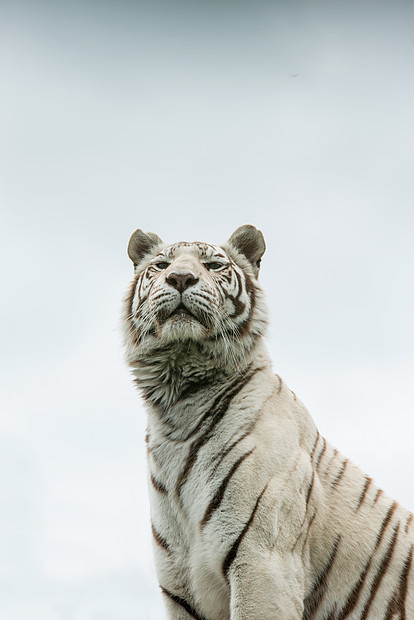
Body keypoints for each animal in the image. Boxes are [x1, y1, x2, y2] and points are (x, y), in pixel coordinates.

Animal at [121, 226, 412, 620]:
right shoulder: (180, 584)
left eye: (213, 265)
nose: (180, 278)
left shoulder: (264, 562)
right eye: (161, 265)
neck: (178, 406)